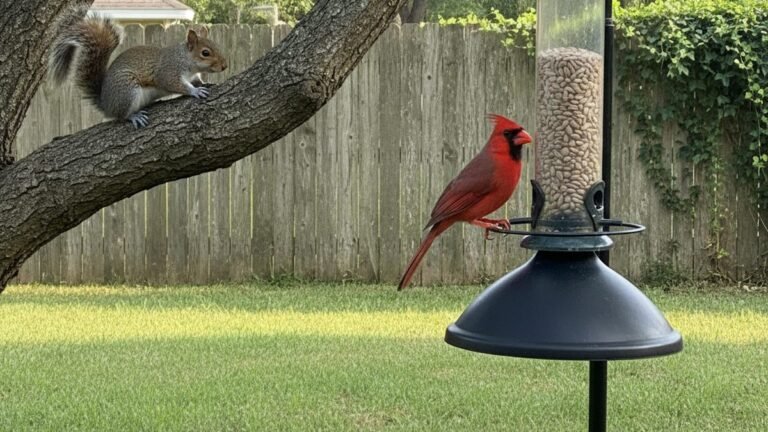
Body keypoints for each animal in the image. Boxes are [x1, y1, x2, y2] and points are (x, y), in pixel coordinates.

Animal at [49, 6, 227, 128]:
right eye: (205, 53)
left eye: (217, 45)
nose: (225, 66)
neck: (186, 60)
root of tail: (106, 103)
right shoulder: (169, 71)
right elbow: (174, 84)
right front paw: (195, 91)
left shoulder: (192, 75)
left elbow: (197, 80)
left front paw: (205, 83)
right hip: (127, 91)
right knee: (120, 116)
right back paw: (133, 116)